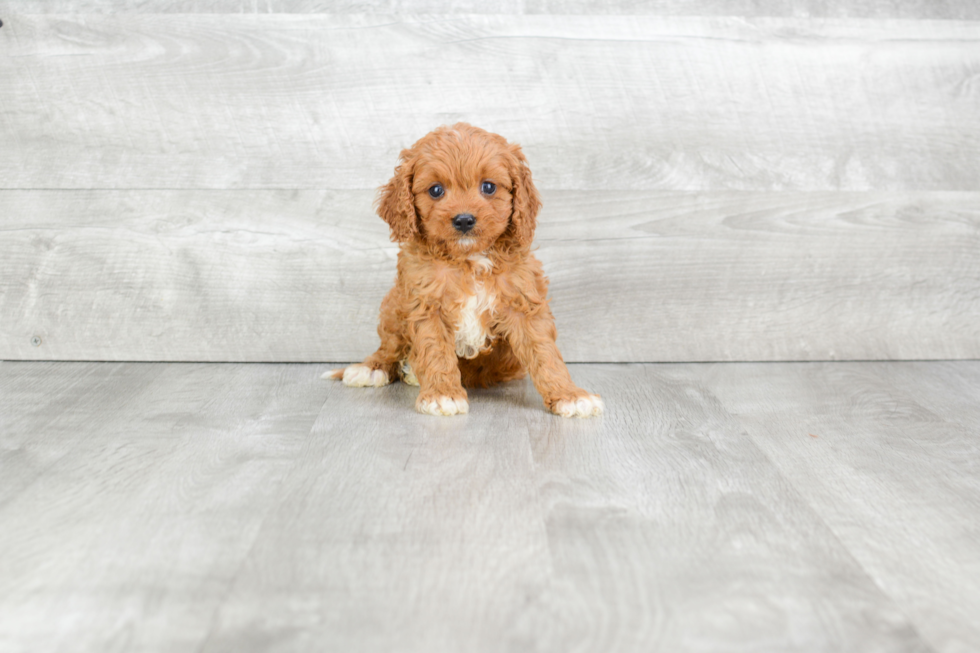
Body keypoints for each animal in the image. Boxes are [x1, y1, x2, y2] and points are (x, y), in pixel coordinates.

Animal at [330, 122, 600, 418]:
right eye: (436, 190)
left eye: (489, 187)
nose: (463, 220)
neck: (470, 259)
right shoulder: (427, 303)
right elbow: (435, 350)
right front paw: (442, 394)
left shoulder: (523, 302)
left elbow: (544, 353)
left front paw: (569, 395)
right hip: (394, 305)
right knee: (390, 345)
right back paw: (372, 368)